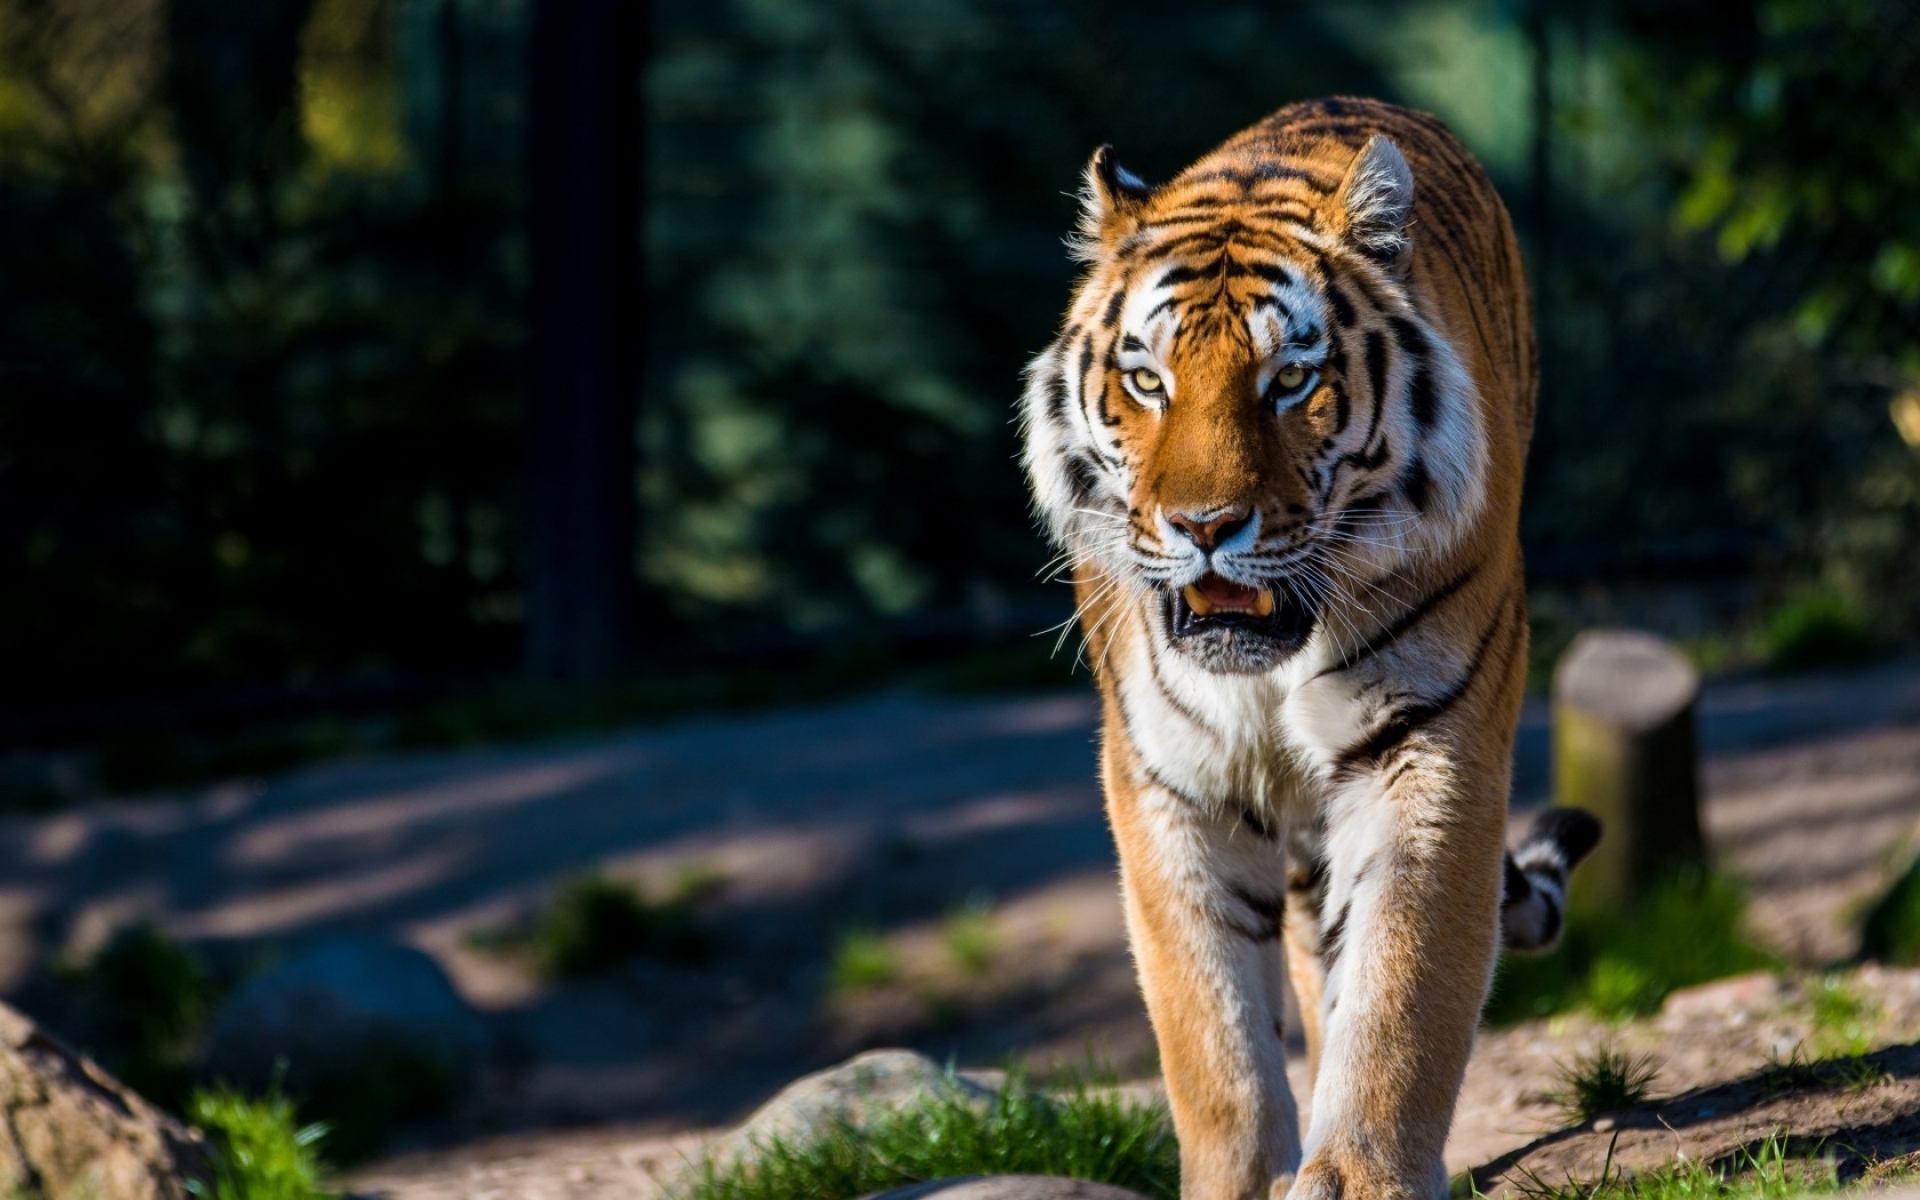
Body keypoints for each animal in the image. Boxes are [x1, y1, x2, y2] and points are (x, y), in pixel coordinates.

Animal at [1018, 97, 1602, 1200]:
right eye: (1148, 380)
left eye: (1290, 380)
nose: (1205, 525)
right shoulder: (1168, 779)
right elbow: (1209, 1029)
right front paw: (1244, 1182)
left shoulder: (1429, 745)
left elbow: (1401, 984)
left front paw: (1362, 1176)